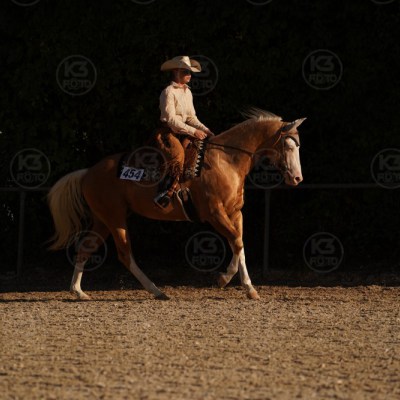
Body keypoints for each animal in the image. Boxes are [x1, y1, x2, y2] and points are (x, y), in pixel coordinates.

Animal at [47, 109, 306, 300]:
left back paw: (78, 292)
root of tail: (87, 172)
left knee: (85, 248)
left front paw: (243, 285)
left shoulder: (235, 213)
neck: (226, 161)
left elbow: (239, 244)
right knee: (124, 254)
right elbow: (236, 241)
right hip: (115, 218)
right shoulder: (215, 214)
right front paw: (228, 281)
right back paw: (156, 290)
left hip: (103, 220)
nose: (297, 178)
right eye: (288, 146)